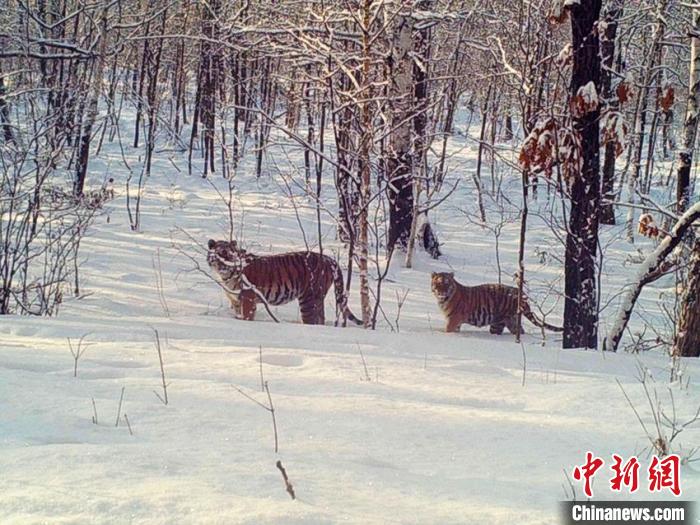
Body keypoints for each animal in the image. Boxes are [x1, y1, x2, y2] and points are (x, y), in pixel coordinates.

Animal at [206, 239, 360, 326]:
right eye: (219, 254)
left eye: (229, 254)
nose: (224, 265)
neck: (226, 276)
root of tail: (329, 259)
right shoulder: (236, 301)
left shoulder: (248, 300)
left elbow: (246, 318)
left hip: (309, 299)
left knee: (312, 321)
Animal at [432, 272, 564, 334]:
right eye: (438, 283)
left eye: (446, 283)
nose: (442, 292)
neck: (443, 300)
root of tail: (520, 293)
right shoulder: (456, 322)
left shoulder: (453, 319)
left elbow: (448, 330)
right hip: (512, 320)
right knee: (520, 331)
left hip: (498, 322)